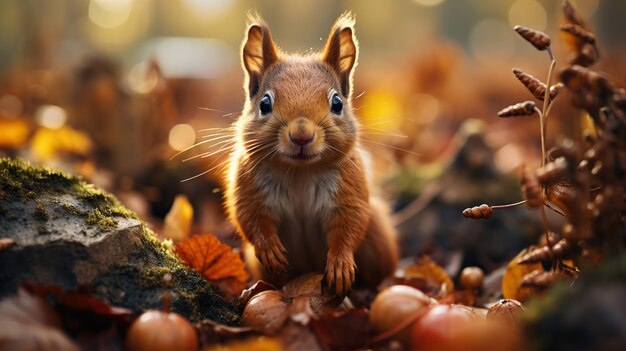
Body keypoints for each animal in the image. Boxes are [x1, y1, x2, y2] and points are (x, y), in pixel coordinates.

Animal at [225, 12, 394, 296]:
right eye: (264, 103)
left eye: (337, 103)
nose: (301, 135)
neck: (299, 173)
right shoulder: (247, 182)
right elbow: (249, 217)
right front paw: (269, 248)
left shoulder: (349, 188)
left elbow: (351, 223)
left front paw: (340, 264)